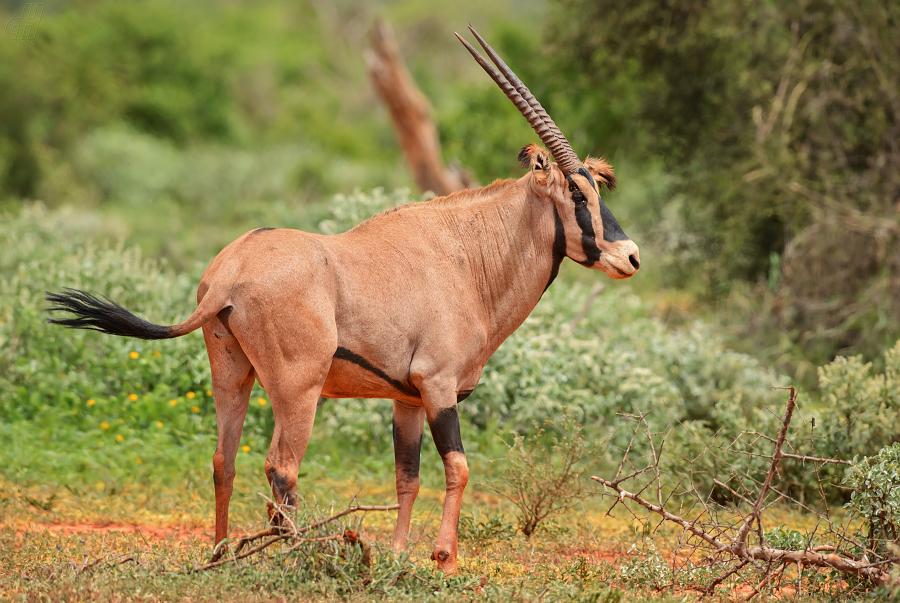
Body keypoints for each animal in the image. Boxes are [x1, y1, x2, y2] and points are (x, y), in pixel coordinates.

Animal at [45, 27, 640, 576]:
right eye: (576, 193)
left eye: (595, 187)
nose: (630, 256)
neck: (468, 256)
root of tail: (228, 273)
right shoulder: (439, 386)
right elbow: (458, 467)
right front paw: (443, 558)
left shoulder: (407, 398)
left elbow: (407, 477)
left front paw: (397, 556)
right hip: (299, 388)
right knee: (281, 467)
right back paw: (298, 554)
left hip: (232, 375)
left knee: (223, 461)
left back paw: (221, 556)